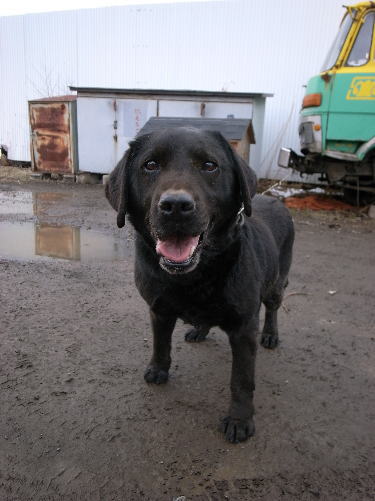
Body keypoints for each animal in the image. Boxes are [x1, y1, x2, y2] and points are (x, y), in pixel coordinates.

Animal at [105, 127, 294, 444]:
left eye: (209, 165)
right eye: (150, 165)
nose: (175, 206)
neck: (193, 275)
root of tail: (276, 200)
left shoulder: (244, 328)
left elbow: (241, 380)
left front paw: (240, 420)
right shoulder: (158, 310)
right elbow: (160, 344)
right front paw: (158, 369)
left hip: (276, 284)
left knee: (273, 308)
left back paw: (270, 334)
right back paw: (200, 329)